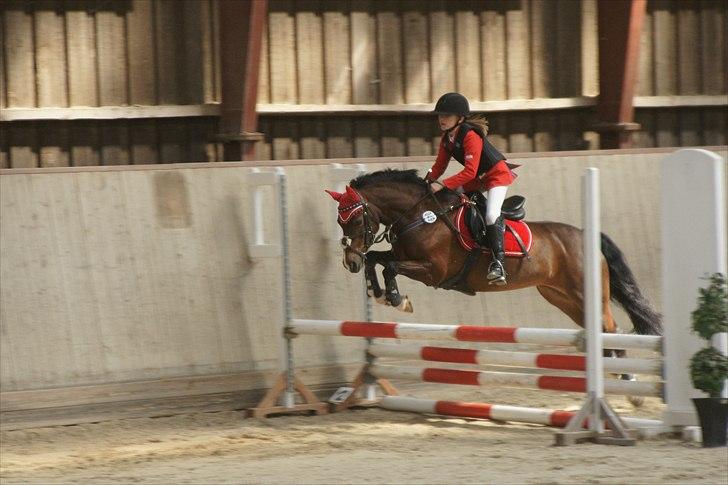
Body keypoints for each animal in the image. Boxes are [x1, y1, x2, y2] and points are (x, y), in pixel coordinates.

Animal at [328, 168, 664, 402]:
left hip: (586, 293)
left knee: (610, 328)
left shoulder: (433, 271)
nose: (350, 262)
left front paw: (398, 299)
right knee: (600, 330)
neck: (420, 215)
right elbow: (377, 259)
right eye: (340, 222)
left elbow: (390, 266)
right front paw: (376, 291)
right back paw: (612, 380)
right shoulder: (402, 257)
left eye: (355, 220)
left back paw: (630, 387)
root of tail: (586, 235)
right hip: (563, 298)